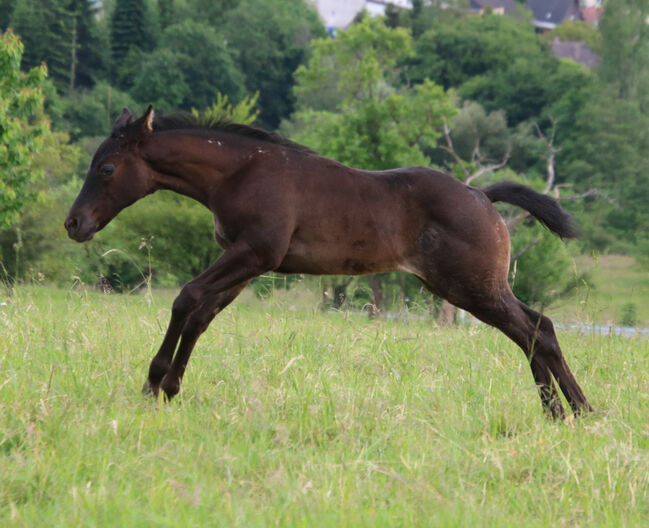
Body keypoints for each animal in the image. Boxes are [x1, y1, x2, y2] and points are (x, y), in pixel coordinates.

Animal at [66, 106, 592, 420]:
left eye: (106, 168)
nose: (74, 224)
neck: (240, 172)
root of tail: (482, 194)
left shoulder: (253, 252)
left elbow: (186, 297)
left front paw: (154, 381)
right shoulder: (245, 264)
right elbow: (201, 315)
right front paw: (172, 386)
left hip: (470, 287)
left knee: (536, 330)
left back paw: (575, 410)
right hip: (473, 288)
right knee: (535, 330)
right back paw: (564, 412)